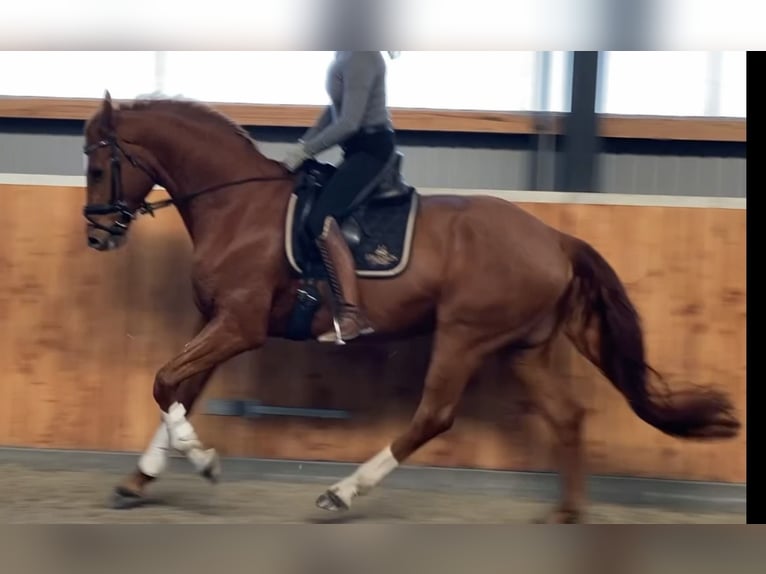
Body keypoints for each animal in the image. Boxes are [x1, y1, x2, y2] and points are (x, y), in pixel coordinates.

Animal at [82, 91, 740, 523]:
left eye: (98, 161)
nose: (97, 235)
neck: (239, 208)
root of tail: (554, 238)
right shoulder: (214, 321)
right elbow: (178, 392)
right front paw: (139, 481)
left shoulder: (238, 325)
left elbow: (164, 382)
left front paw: (205, 462)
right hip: (521, 348)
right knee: (567, 417)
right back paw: (566, 516)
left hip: (465, 335)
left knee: (434, 416)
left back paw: (342, 493)